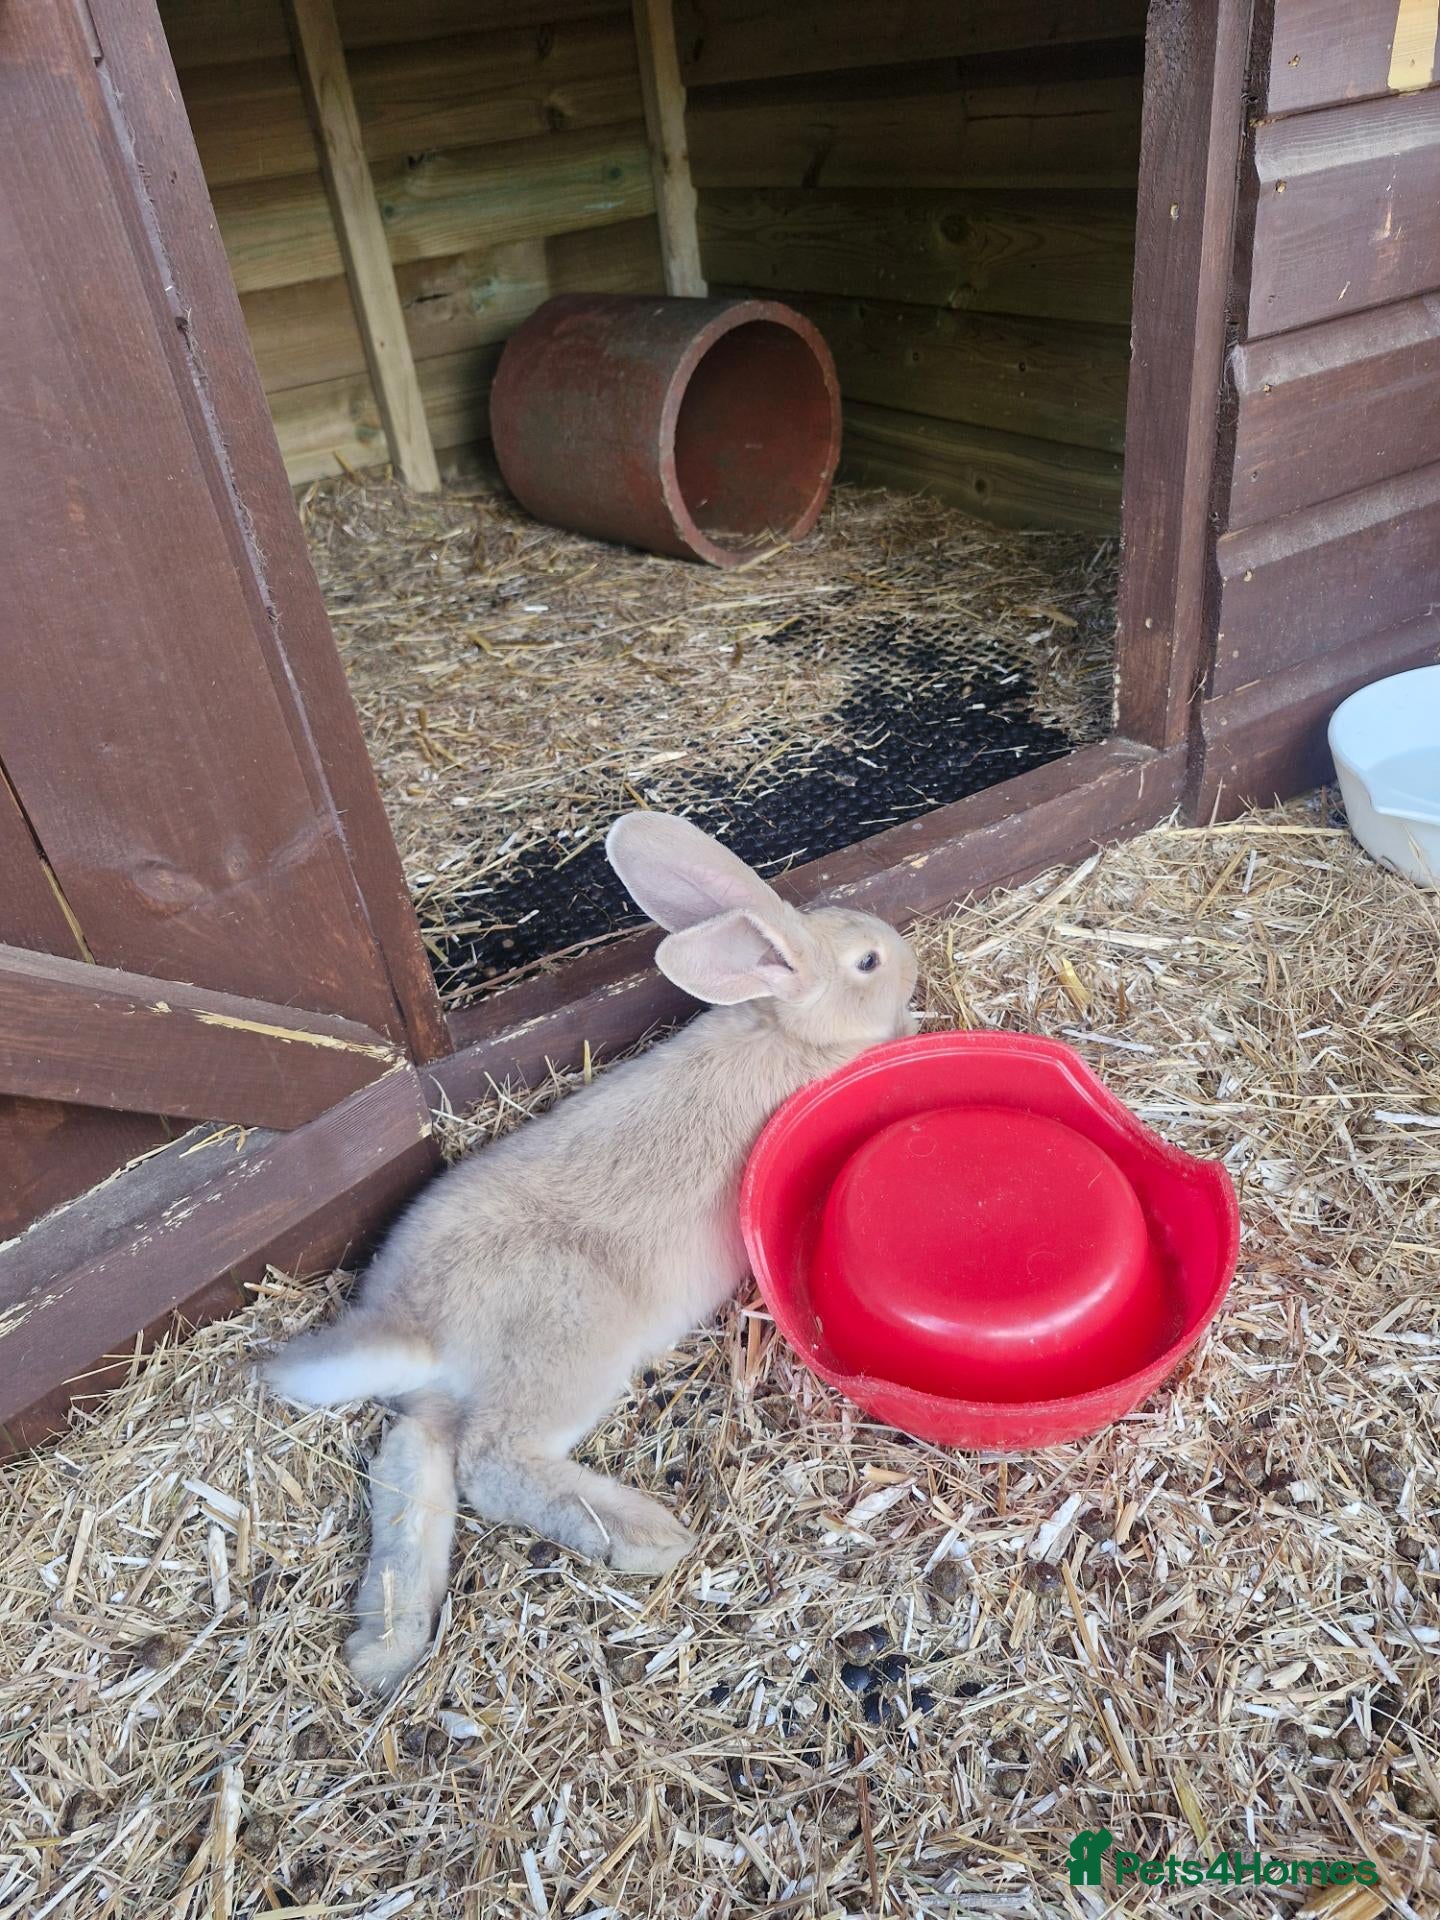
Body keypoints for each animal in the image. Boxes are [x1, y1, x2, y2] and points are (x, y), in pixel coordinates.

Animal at [262, 811, 919, 1691]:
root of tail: (414, 1321)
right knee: (491, 1462)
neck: (785, 1021)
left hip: (440, 1404)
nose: (905, 955)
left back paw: (384, 1646)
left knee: (409, 1461)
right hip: (567, 1352)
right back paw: (645, 1536)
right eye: (867, 963)